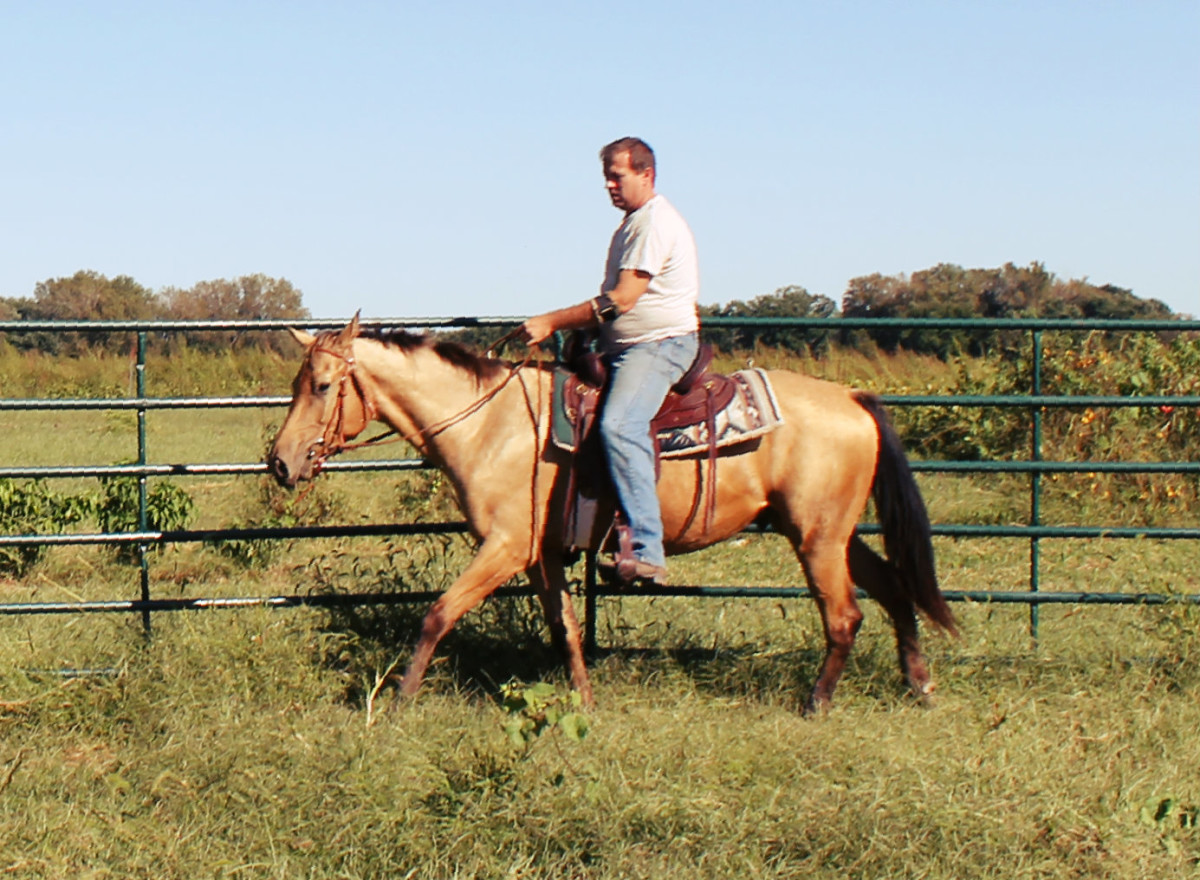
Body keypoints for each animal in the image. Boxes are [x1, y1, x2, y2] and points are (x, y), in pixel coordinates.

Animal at [265, 316, 955, 715]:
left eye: (321, 386)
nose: (279, 462)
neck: (493, 424)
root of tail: (853, 397)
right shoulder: (540, 555)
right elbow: (565, 628)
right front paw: (585, 700)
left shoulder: (506, 546)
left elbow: (439, 612)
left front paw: (401, 695)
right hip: (831, 532)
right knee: (895, 591)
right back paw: (919, 685)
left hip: (817, 538)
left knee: (844, 616)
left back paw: (816, 703)